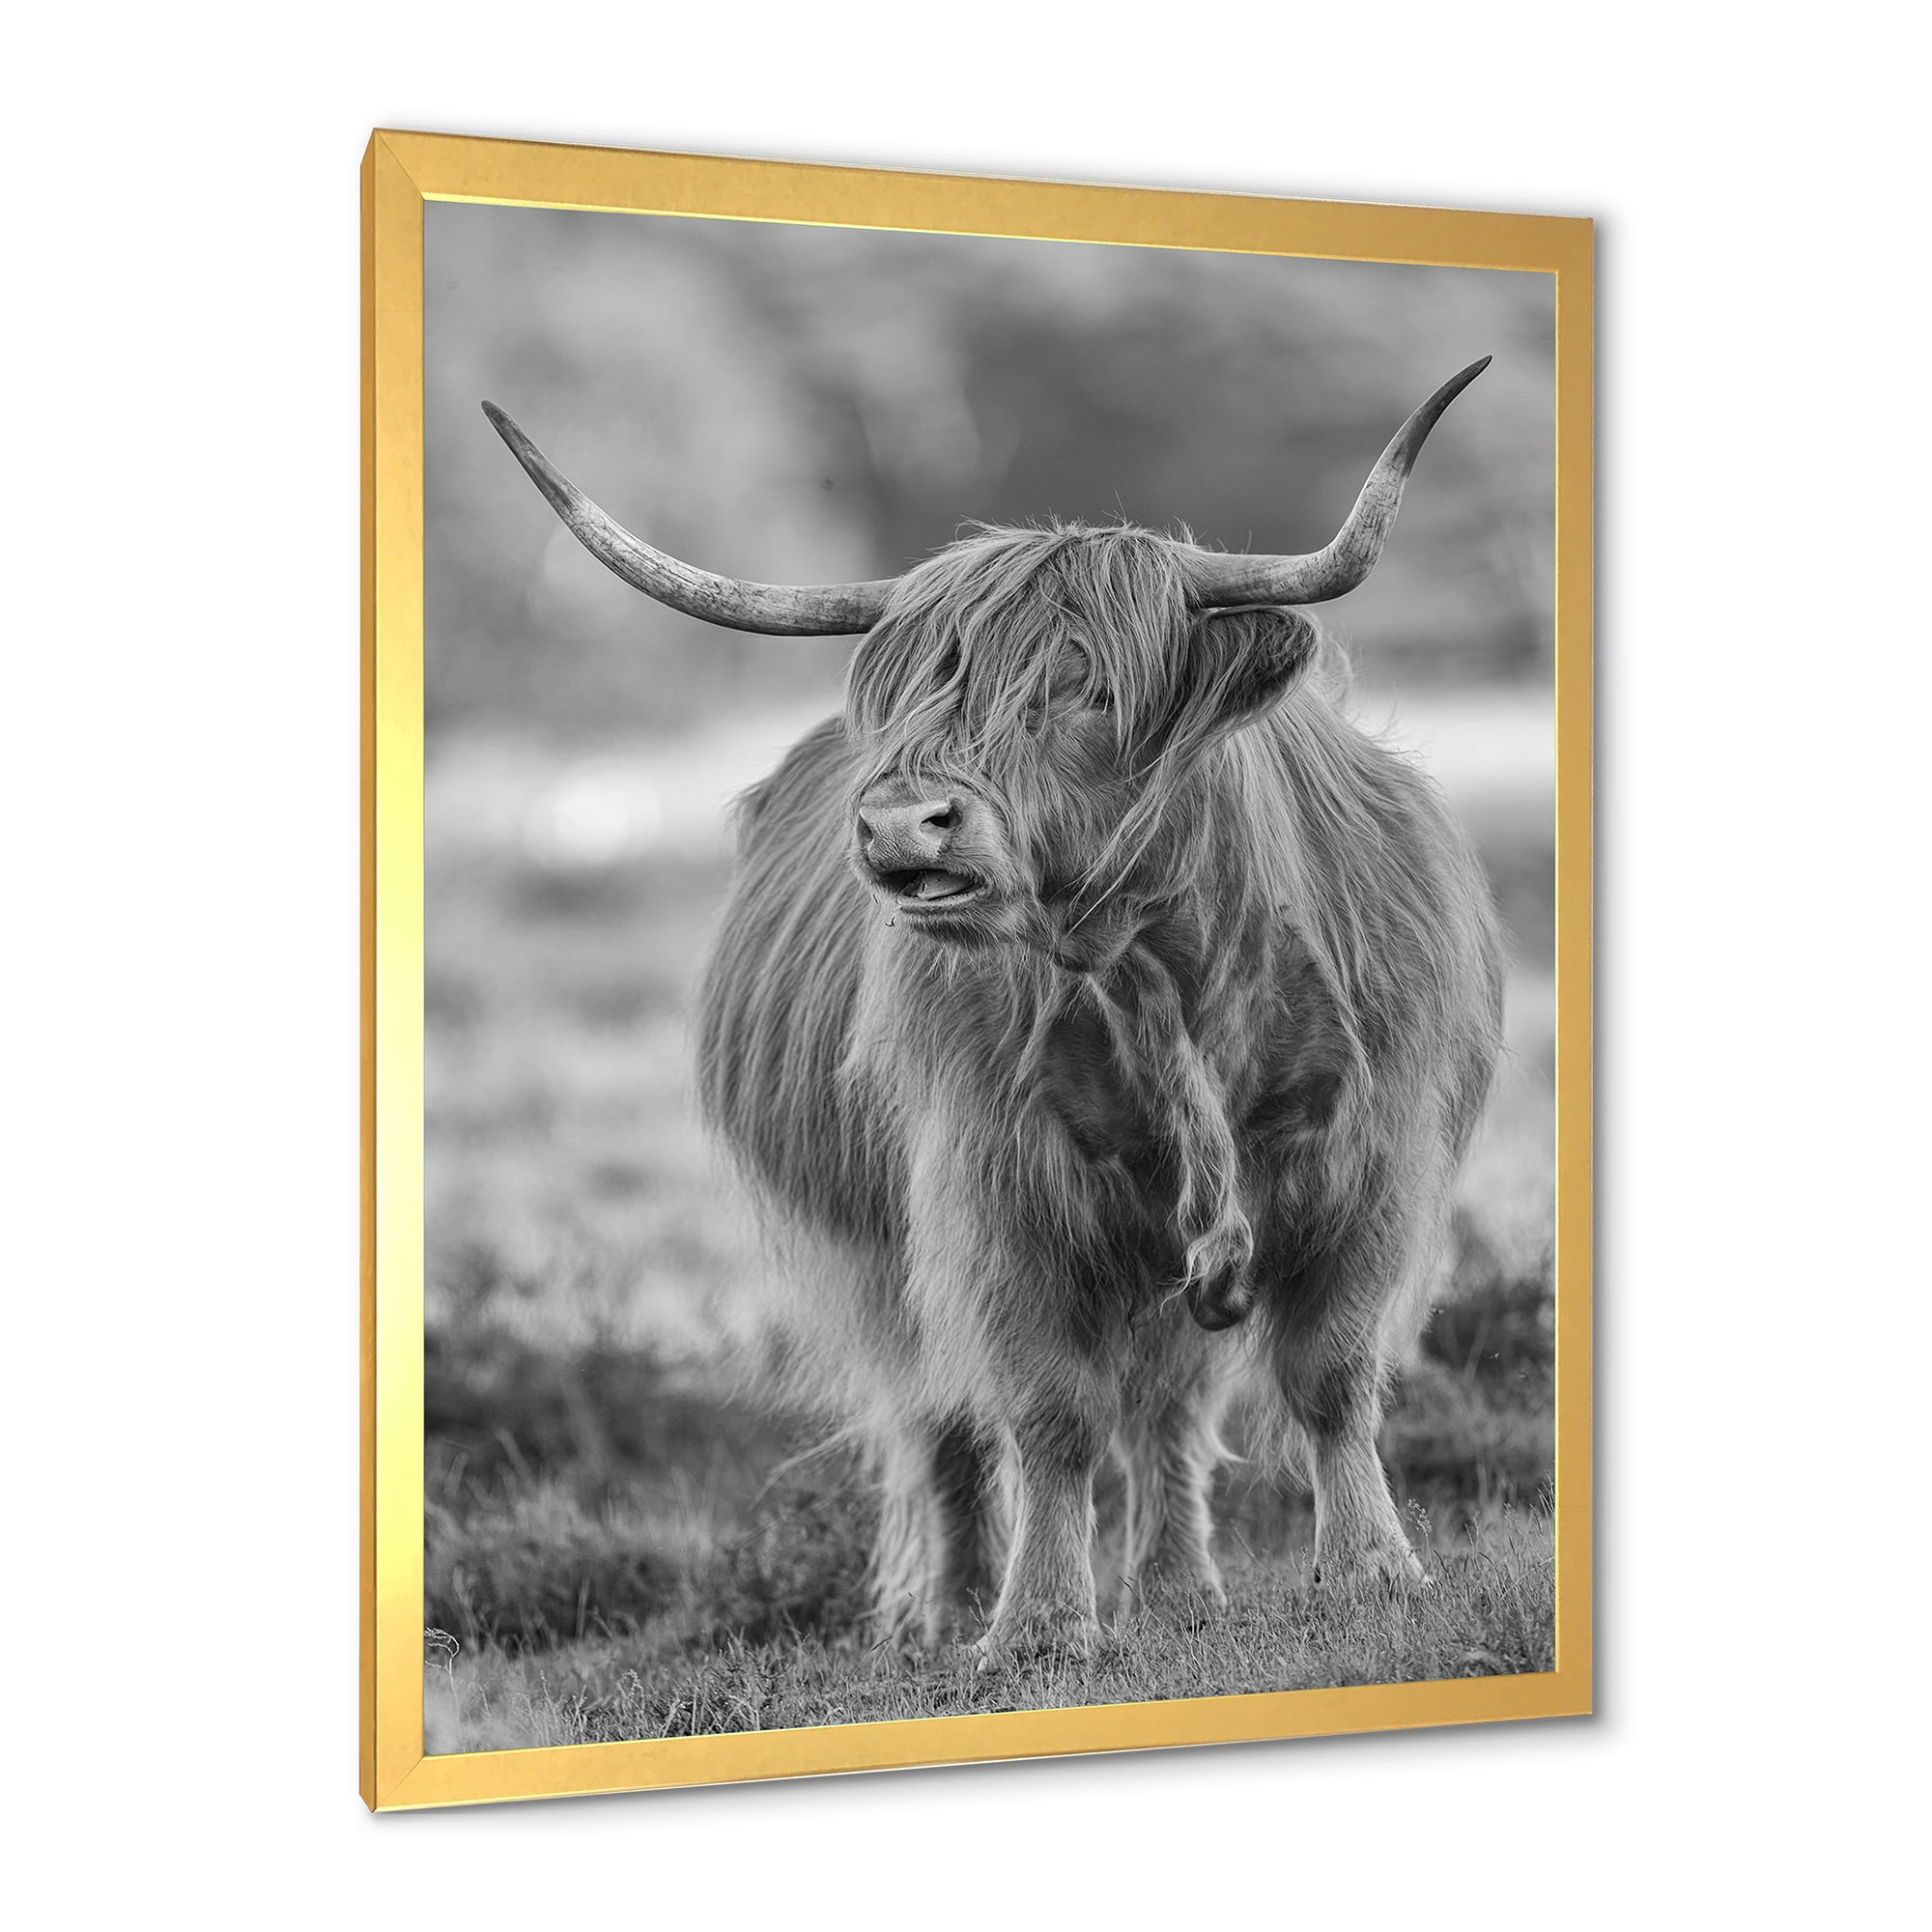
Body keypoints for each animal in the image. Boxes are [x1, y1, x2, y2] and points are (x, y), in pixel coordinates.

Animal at [483, 358, 1506, 1665]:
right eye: (920, 694)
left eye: (1093, 688)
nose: (898, 822)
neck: (1161, 974)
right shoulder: (994, 1189)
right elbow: (1045, 1410)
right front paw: (1036, 1624)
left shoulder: (1369, 1159)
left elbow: (1329, 1372)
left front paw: (1374, 1572)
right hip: (882, 1255)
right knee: (944, 1417)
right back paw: (948, 1608)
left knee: (1167, 1406)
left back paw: (1178, 1588)